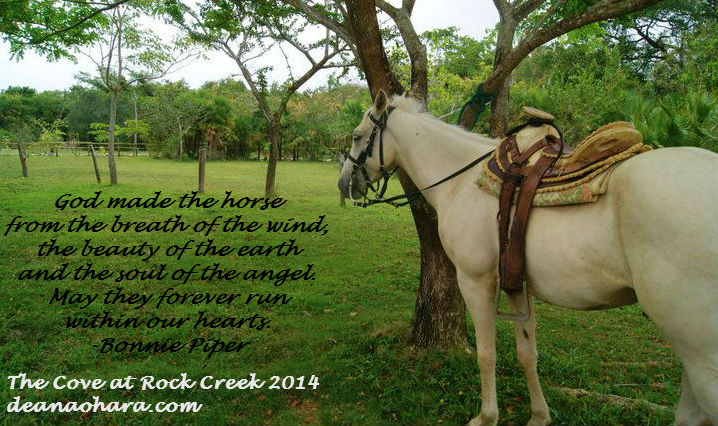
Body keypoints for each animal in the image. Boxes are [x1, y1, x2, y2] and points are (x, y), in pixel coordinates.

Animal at [338, 90, 718, 426]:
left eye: (357, 137)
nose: (344, 184)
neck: (462, 180)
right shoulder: (517, 285)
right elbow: (527, 354)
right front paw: (539, 415)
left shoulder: (476, 281)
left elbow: (486, 354)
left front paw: (487, 416)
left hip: (700, 352)